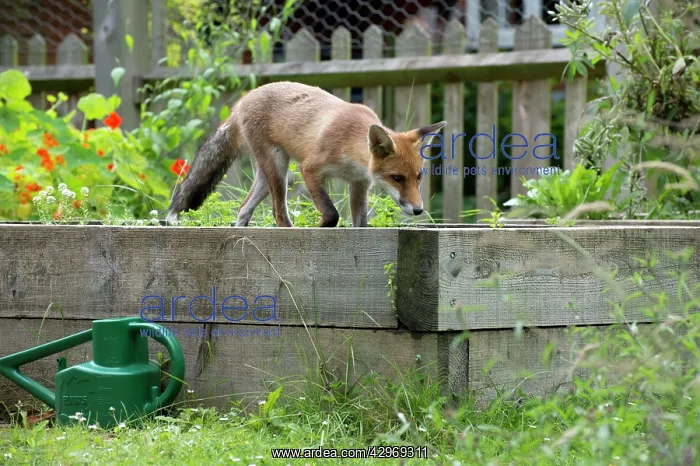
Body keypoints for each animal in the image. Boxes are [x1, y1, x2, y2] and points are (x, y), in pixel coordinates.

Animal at [166, 81, 446, 227]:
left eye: (419, 177)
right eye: (397, 178)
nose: (419, 211)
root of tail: (242, 101)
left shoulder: (359, 184)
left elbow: (360, 224)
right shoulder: (310, 169)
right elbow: (331, 214)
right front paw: (320, 228)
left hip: (267, 177)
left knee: (243, 208)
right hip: (279, 170)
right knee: (278, 214)